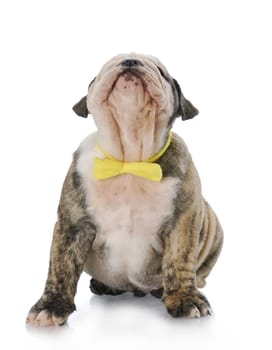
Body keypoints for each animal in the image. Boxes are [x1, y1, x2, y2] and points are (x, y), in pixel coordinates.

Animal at [26, 54, 223, 326]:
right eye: (106, 66)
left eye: (160, 71)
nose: (130, 61)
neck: (129, 160)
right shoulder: (73, 224)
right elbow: (61, 266)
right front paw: (51, 306)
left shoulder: (182, 223)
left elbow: (179, 261)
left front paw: (184, 299)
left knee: (198, 273)